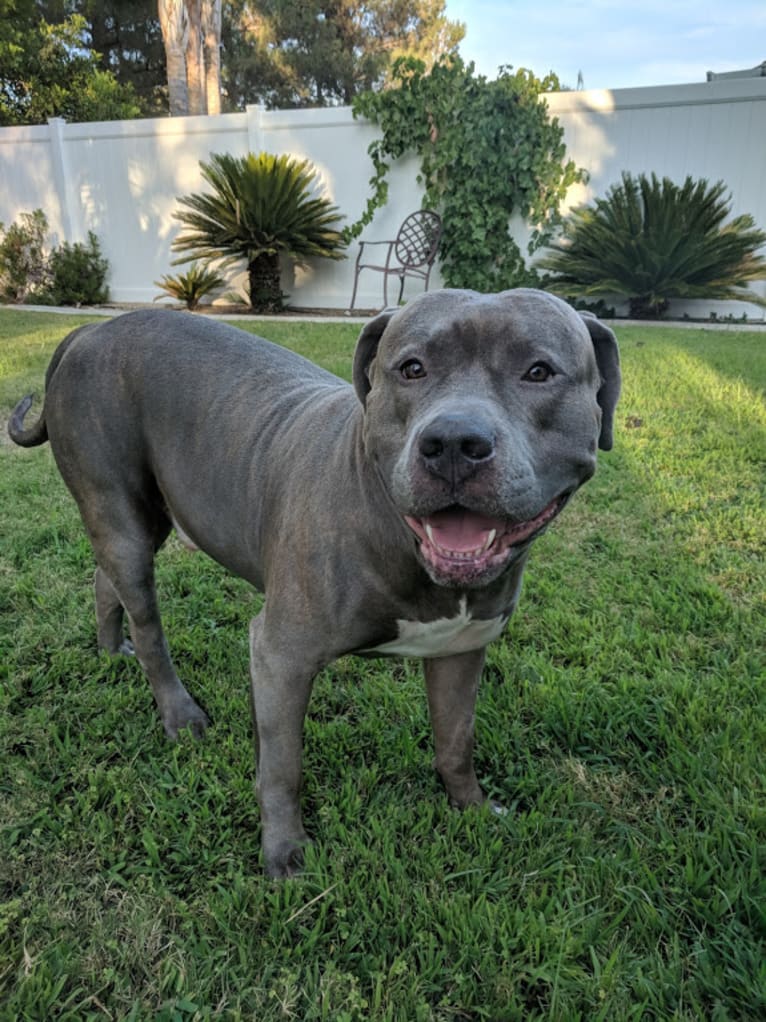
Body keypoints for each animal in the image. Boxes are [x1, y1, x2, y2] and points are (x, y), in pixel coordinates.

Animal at [9, 290, 620, 878]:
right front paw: (284, 852)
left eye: (539, 371)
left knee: (104, 577)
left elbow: (455, 741)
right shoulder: (282, 655)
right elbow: (284, 766)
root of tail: (87, 331)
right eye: (412, 368)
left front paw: (470, 807)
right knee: (148, 624)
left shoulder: (461, 651)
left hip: (145, 517)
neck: (396, 531)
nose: (452, 442)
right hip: (121, 514)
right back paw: (178, 713)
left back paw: (111, 650)